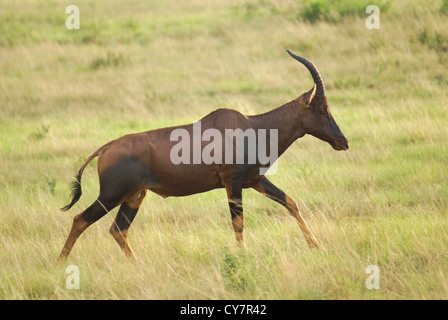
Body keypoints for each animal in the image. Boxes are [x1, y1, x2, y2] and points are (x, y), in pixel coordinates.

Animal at [58, 50, 346, 260]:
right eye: (322, 108)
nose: (343, 142)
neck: (252, 126)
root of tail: (105, 148)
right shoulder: (233, 183)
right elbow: (238, 222)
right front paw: (243, 258)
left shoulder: (255, 181)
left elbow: (291, 202)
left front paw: (317, 246)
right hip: (112, 195)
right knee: (80, 220)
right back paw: (61, 263)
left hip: (134, 196)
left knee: (118, 230)